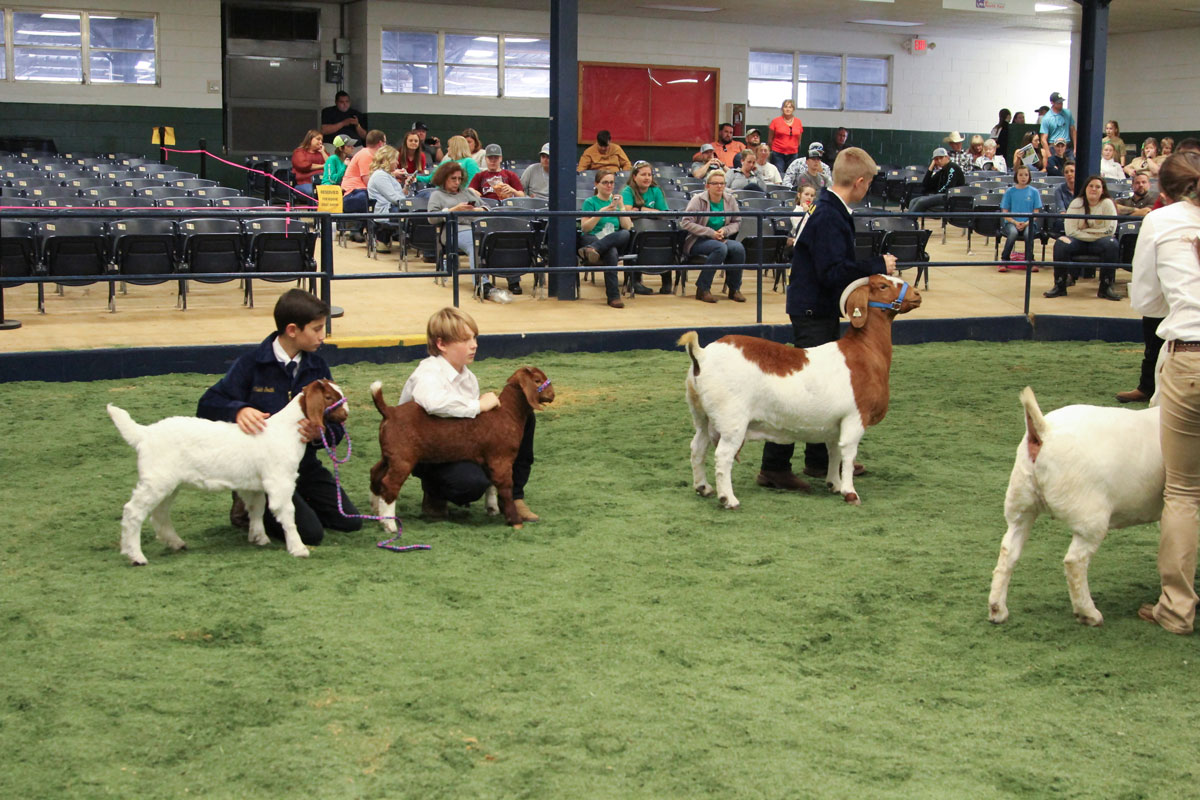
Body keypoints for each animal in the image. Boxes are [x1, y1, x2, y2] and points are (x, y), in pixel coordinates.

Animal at [108, 379, 347, 565]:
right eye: (329, 396)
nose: (345, 413)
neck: (285, 430)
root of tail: (144, 434)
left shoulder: (255, 485)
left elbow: (257, 509)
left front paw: (258, 537)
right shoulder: (280, 481)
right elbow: (287, 513)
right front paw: (298, 549)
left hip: (169, 484)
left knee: (160, 513)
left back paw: (176, 543)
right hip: (156, 480)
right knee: (133, 511)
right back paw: (136, 556)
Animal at [680, 274, 920, 509]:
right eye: (883, 285)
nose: (917, 294)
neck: (864, 351)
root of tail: (702, 355)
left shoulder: (836, 424)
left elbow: (834, 452)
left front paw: (834, 484)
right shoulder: (855, 416)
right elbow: (848, 453)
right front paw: (850, 493)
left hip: (701, 415)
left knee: (697, 447)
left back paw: (703, 488)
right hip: (731, 420)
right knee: (723, 456)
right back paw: (728, 499)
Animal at [988, 386, 1163, 626]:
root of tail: (1044, 430)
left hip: (1021, 503)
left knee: (1009, 551)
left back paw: (997, 609)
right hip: (1090, 516)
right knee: (1074, 562)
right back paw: (1088, 613)